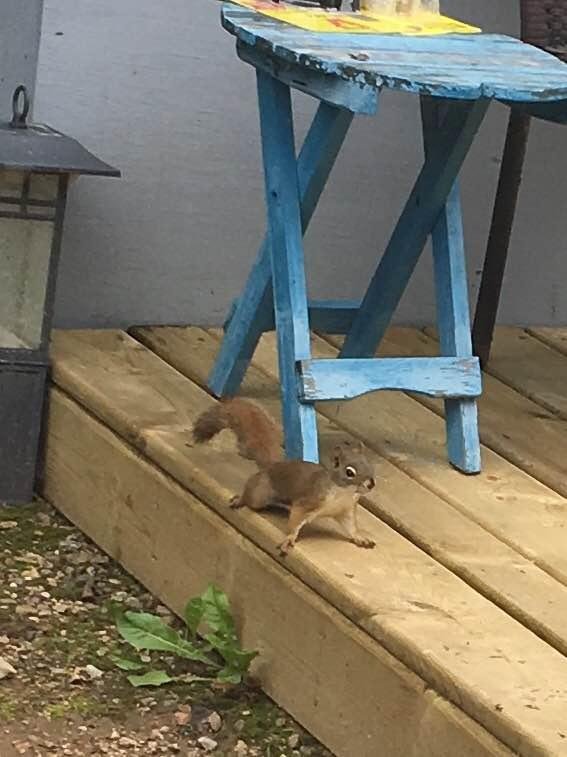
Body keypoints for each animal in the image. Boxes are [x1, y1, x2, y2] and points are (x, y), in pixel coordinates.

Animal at [193, 398, 376, 555]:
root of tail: (272, 467)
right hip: (260, 493)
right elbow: (295, 522)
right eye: (349, 472)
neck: (343, 493)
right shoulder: (307, 502)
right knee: (250, 495)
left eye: (369, 464)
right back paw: (240, 499)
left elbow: (350, 527)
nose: (371, 484)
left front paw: (360, 537)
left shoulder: (345, 510)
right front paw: (289, 539)